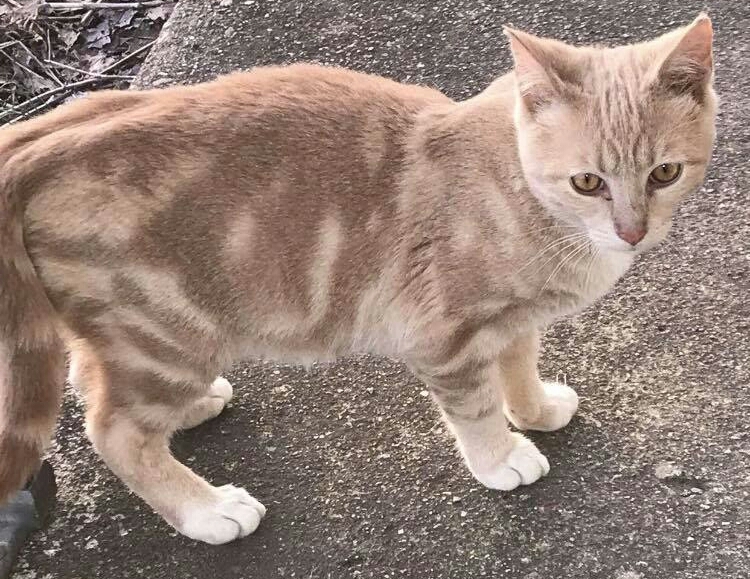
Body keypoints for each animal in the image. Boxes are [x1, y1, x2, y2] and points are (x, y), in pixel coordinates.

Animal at [0, 15, 716, 548]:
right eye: (588, 181)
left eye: (664, 173)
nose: (632, 232)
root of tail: (39, 137)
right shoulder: (446, 336)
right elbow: (476, 406)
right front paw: (500, 455)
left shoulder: (512, 318)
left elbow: (518, 363)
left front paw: (533, 409)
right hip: (164, 334)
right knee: (114, 429)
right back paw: (204, 510)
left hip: (137, 336)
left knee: (89, 377)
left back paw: (196, 407)